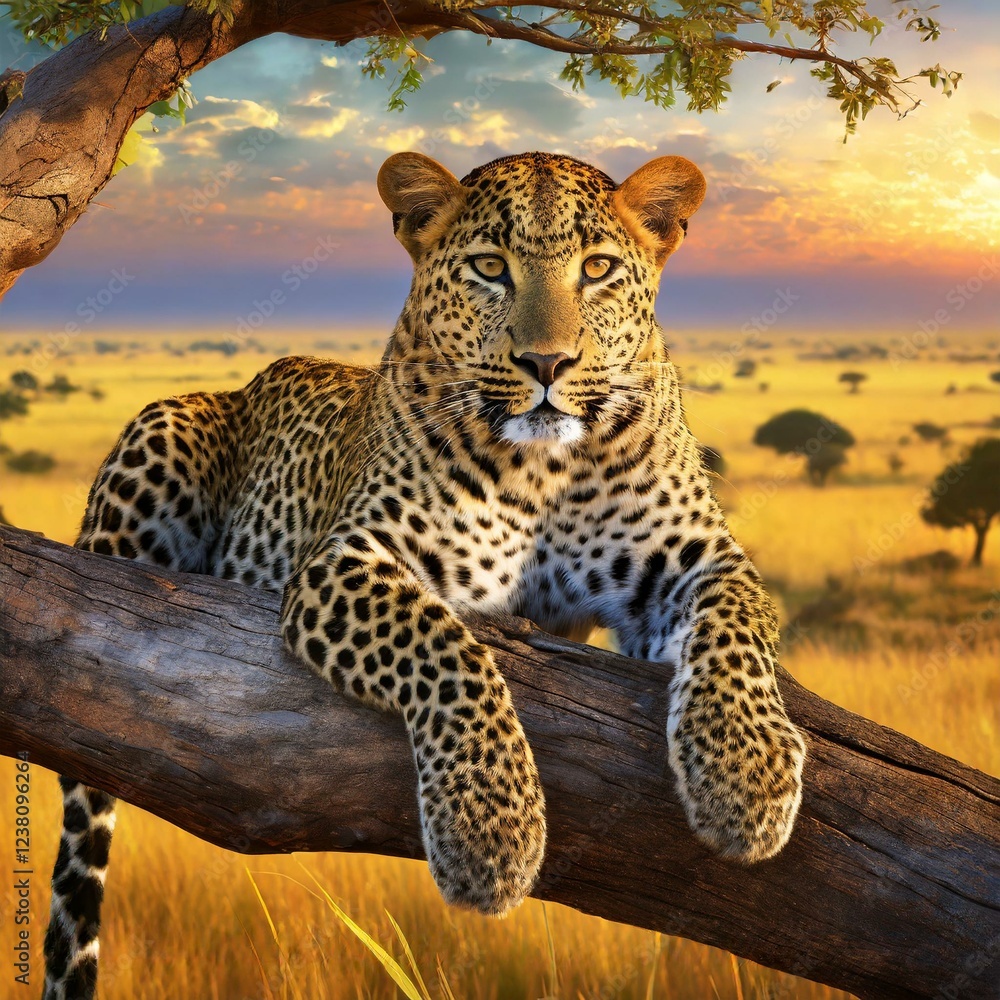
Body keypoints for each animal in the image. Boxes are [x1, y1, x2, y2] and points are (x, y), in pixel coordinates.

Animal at [43, 149, 806, 1000]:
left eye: (599, 269)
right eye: (490, 268)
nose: (547, 363)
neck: (546, 466)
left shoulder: (697, 556)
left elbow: (736, 628)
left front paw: (746, 779)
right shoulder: (346, 561)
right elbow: (448, 651)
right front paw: (490, 836)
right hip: (160, 432)